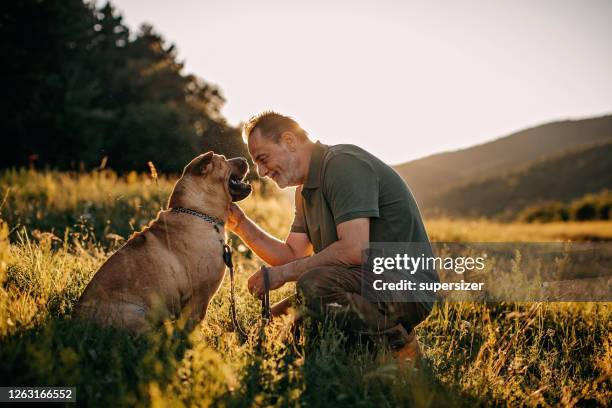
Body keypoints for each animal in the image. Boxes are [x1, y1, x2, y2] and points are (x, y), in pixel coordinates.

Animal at [74, 151, 251, 334]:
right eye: (224, 159)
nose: (245, 158)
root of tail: (78, 320)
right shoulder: (200, 296)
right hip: (135, 313)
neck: (199, 213)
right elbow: (194, 323)